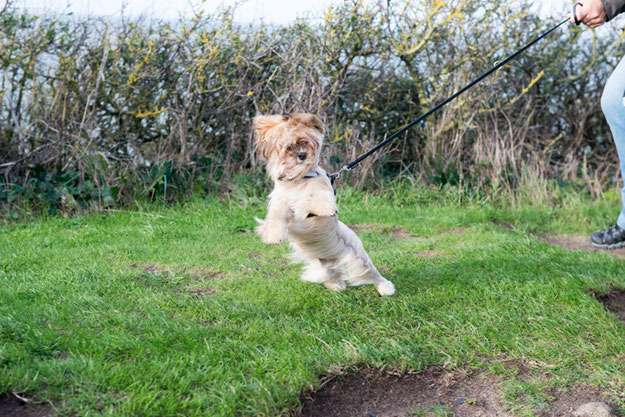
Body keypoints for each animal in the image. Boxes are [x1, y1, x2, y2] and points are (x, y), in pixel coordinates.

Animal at [252, 113, 394, 296]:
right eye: (289, 146)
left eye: (306, 142)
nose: (302, 155)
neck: (300, 180)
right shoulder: (280, 201)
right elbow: (277, 217)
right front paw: (274, 235)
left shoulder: (321, 194)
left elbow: (315, 201)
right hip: (325, 264)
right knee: (332, 274)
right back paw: (336, 285)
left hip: (358, 258)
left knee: (372, 274)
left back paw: (387, 288)